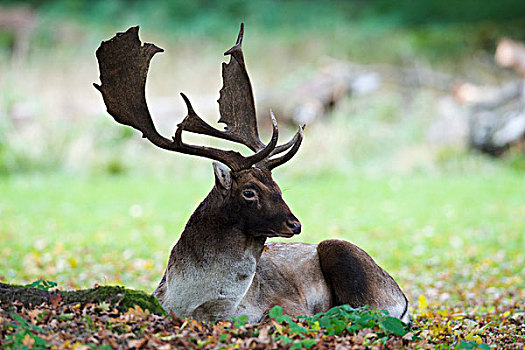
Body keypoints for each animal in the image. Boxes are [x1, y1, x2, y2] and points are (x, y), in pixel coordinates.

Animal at [96, 24, 412, 324]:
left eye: (278, 188)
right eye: (249, 191)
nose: (295, 224)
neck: (195, 303)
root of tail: (404, 299)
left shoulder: (287, 305)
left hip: (346, 254)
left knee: (368, 309)